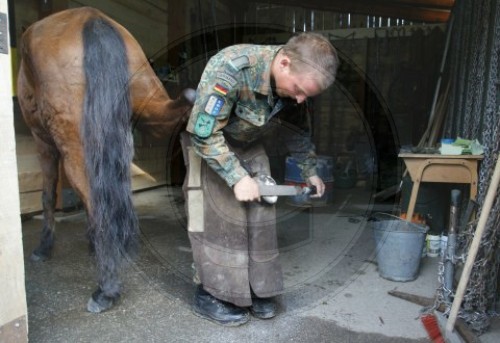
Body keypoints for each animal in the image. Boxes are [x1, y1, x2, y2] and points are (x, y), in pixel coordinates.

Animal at [17, 7, 194, 314]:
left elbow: (48, 195)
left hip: (72, 146)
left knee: (95, 199)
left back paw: (106, 289)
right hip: (151, 104)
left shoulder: (43, 141)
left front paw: (43, 248)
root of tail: (90, 18)